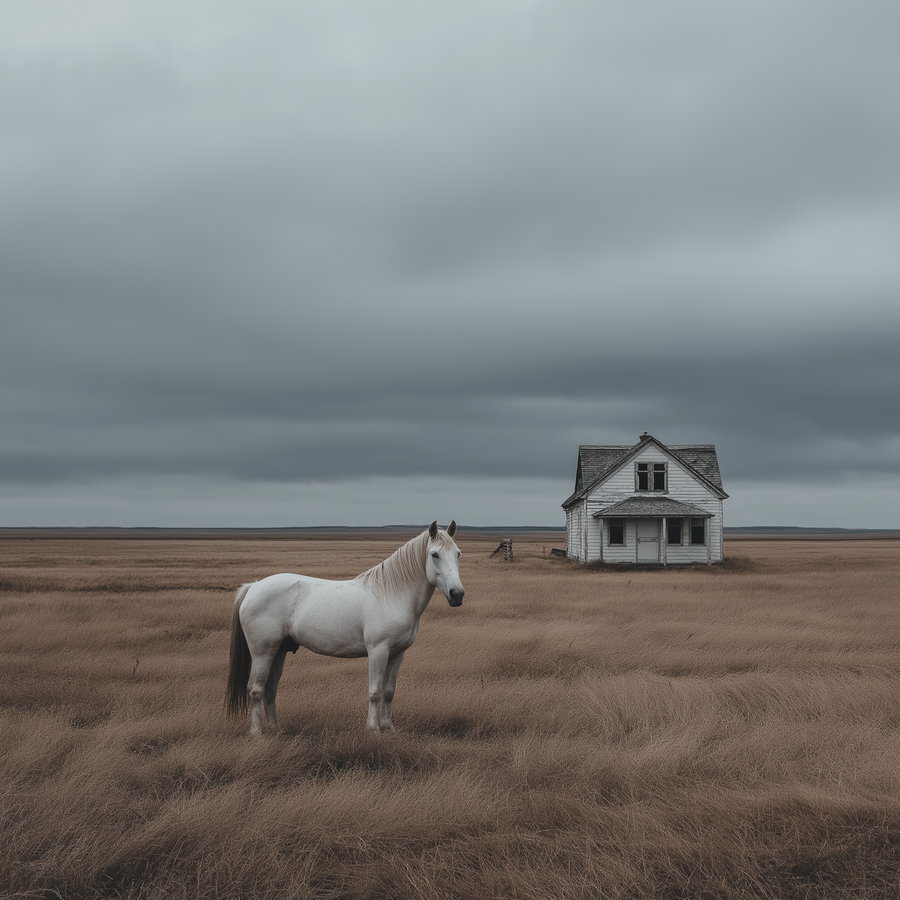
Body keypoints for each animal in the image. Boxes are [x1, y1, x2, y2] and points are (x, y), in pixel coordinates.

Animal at [225, 521, 464, 735]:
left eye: (458, 554)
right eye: (434, 554)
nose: (457, 594)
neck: (392, 595)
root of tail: (253, 587)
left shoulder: (398, 654)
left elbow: (389, 692)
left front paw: (389, 728)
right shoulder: (378, 651)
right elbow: (375, 692)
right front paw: (373, 729)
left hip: (279, 651)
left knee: (270, 689)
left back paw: (276, 729)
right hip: (262, 652)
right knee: (255, 690)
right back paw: (257, 733)